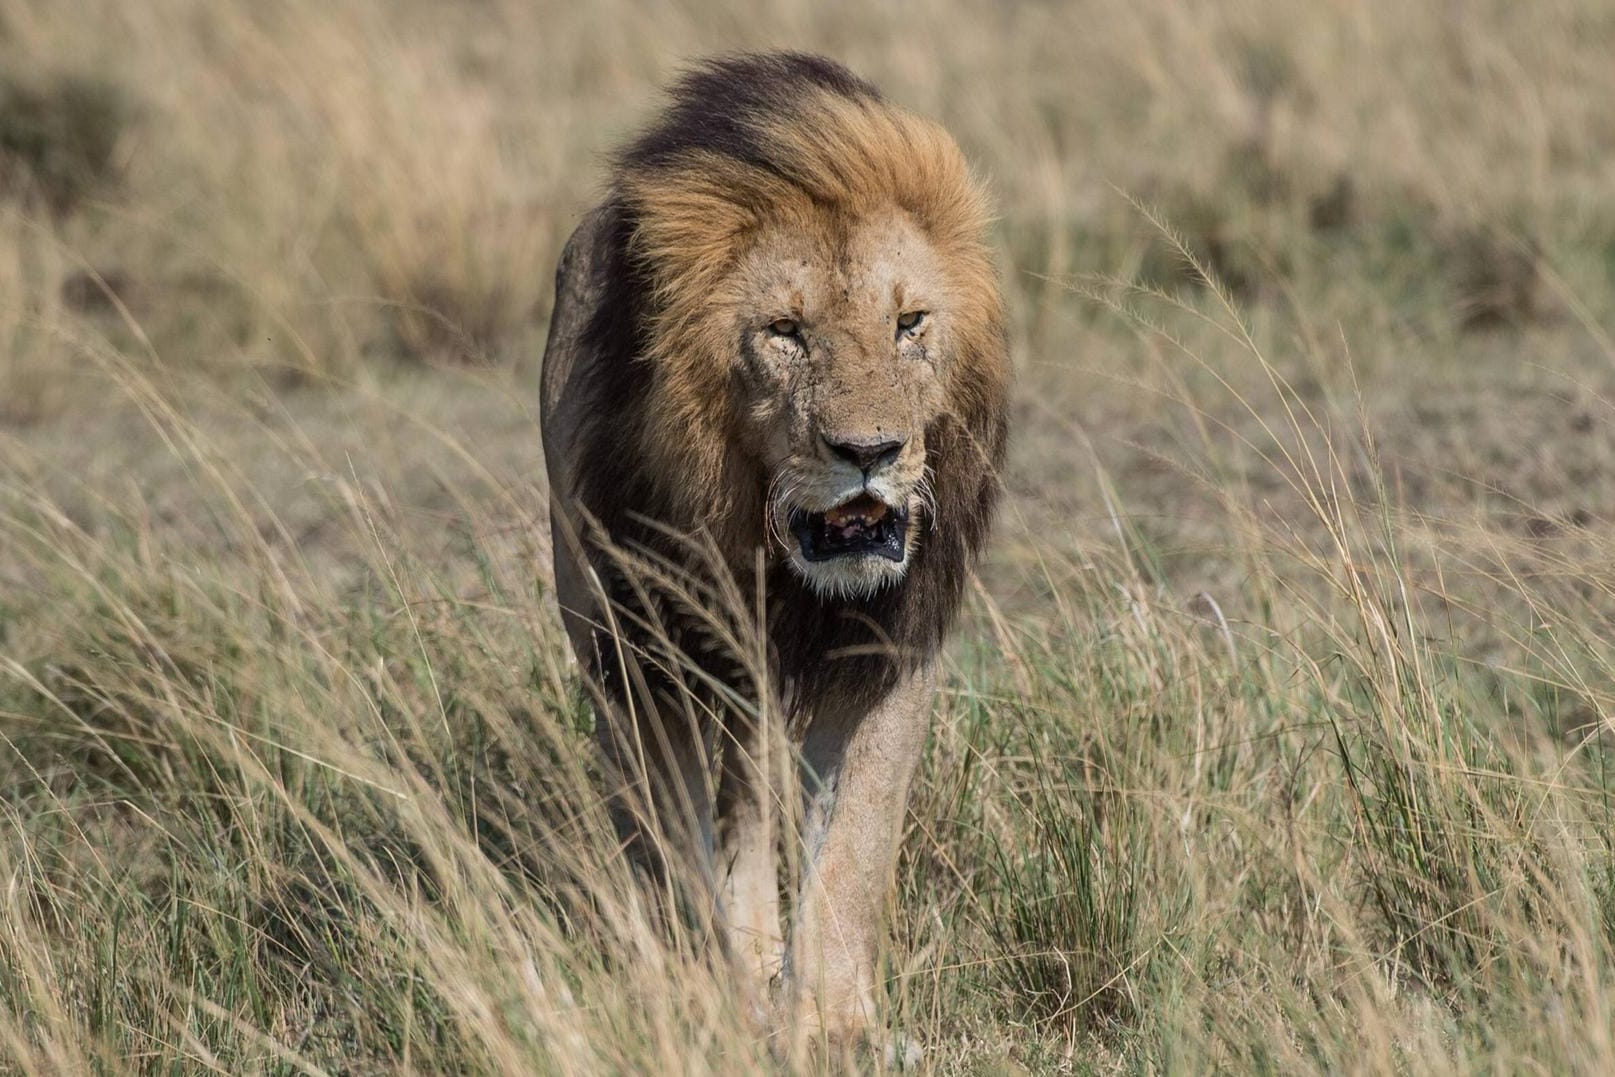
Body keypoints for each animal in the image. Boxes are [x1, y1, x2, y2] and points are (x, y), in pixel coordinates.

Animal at [536, 54, 1001, 1059]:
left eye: (909, 323)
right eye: (785, 333)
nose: (869, 451)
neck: (765, 549)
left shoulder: (890, 645)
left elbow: (854, 846)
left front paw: (830, 1023)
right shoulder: (640, 652)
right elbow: (674, 848)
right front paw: (708, 1003)